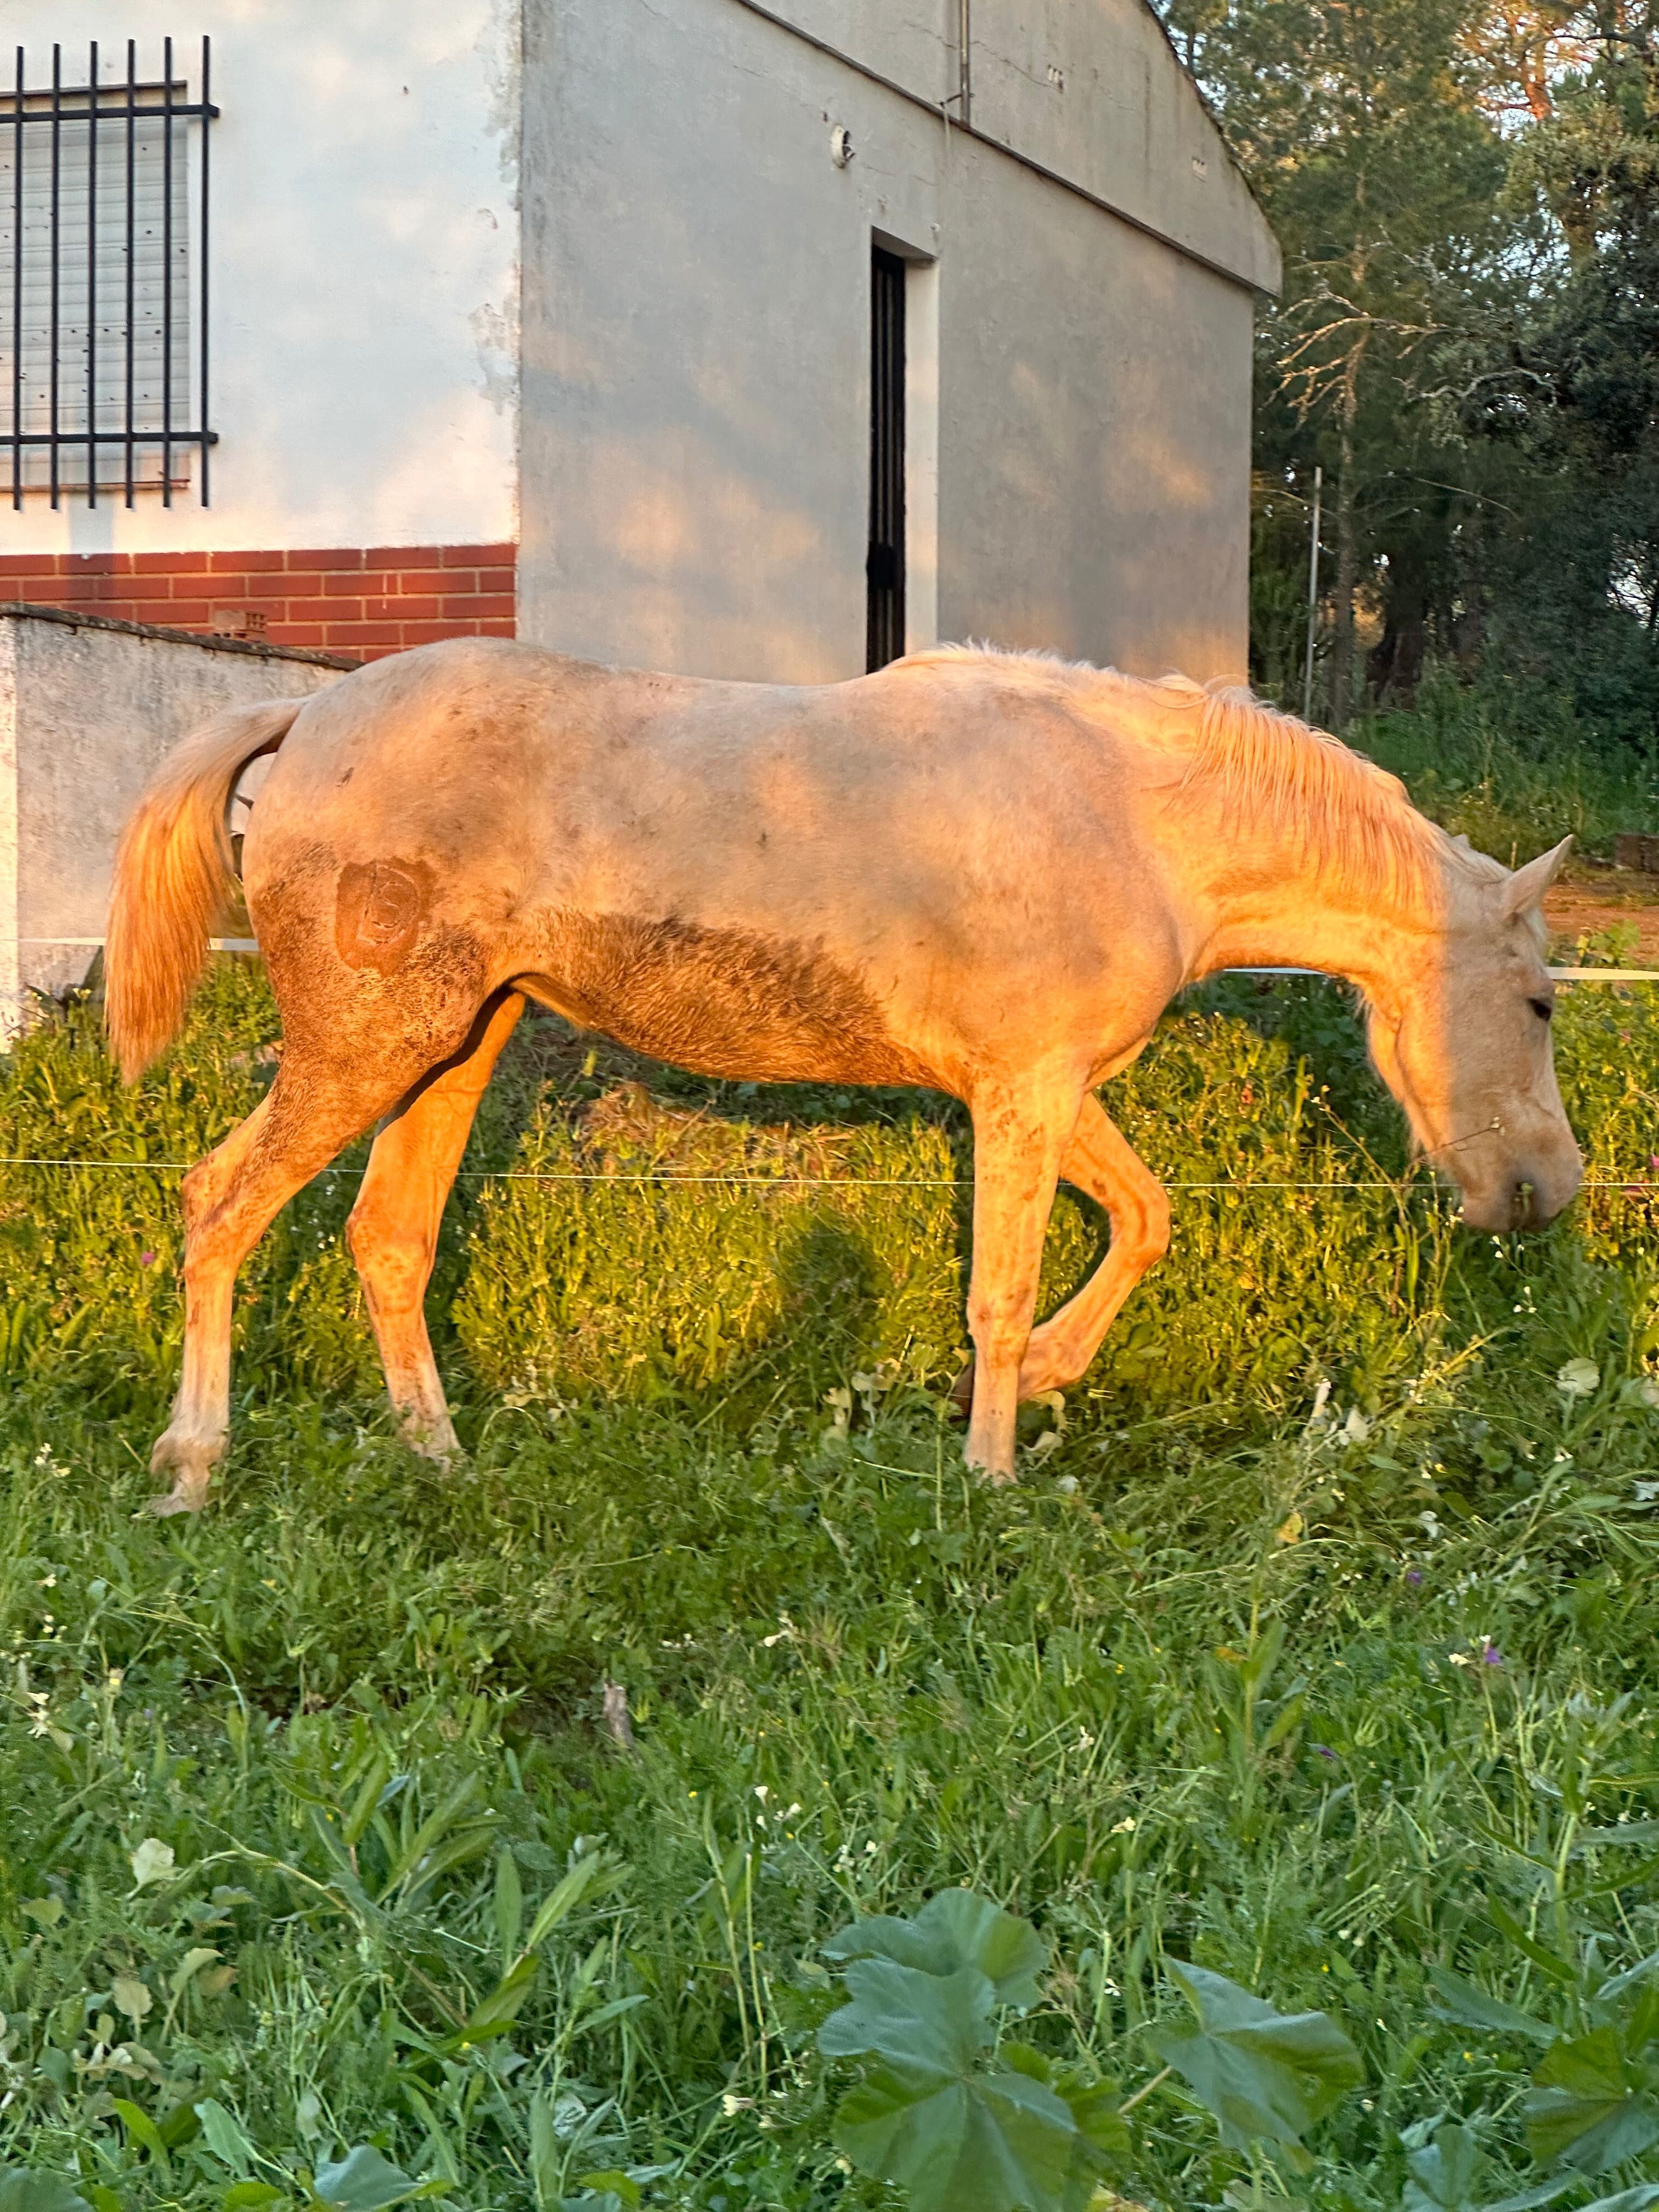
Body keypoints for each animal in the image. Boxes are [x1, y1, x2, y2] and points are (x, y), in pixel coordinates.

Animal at [104, 633, 1583, 1513]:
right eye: (1539, 1002)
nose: (1546, 1192)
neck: (1130, 815)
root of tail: (307, 711)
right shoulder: (1024, 1094)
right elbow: (1001, 1292)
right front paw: (990, 1476)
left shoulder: (1044, 1091)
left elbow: (1147, 1218)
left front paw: (1052, 1379)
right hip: (366, 1051)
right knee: (219, 1204)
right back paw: (191, 1465)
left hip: (455, 1052)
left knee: (387, 1241)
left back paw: (442, 1458)